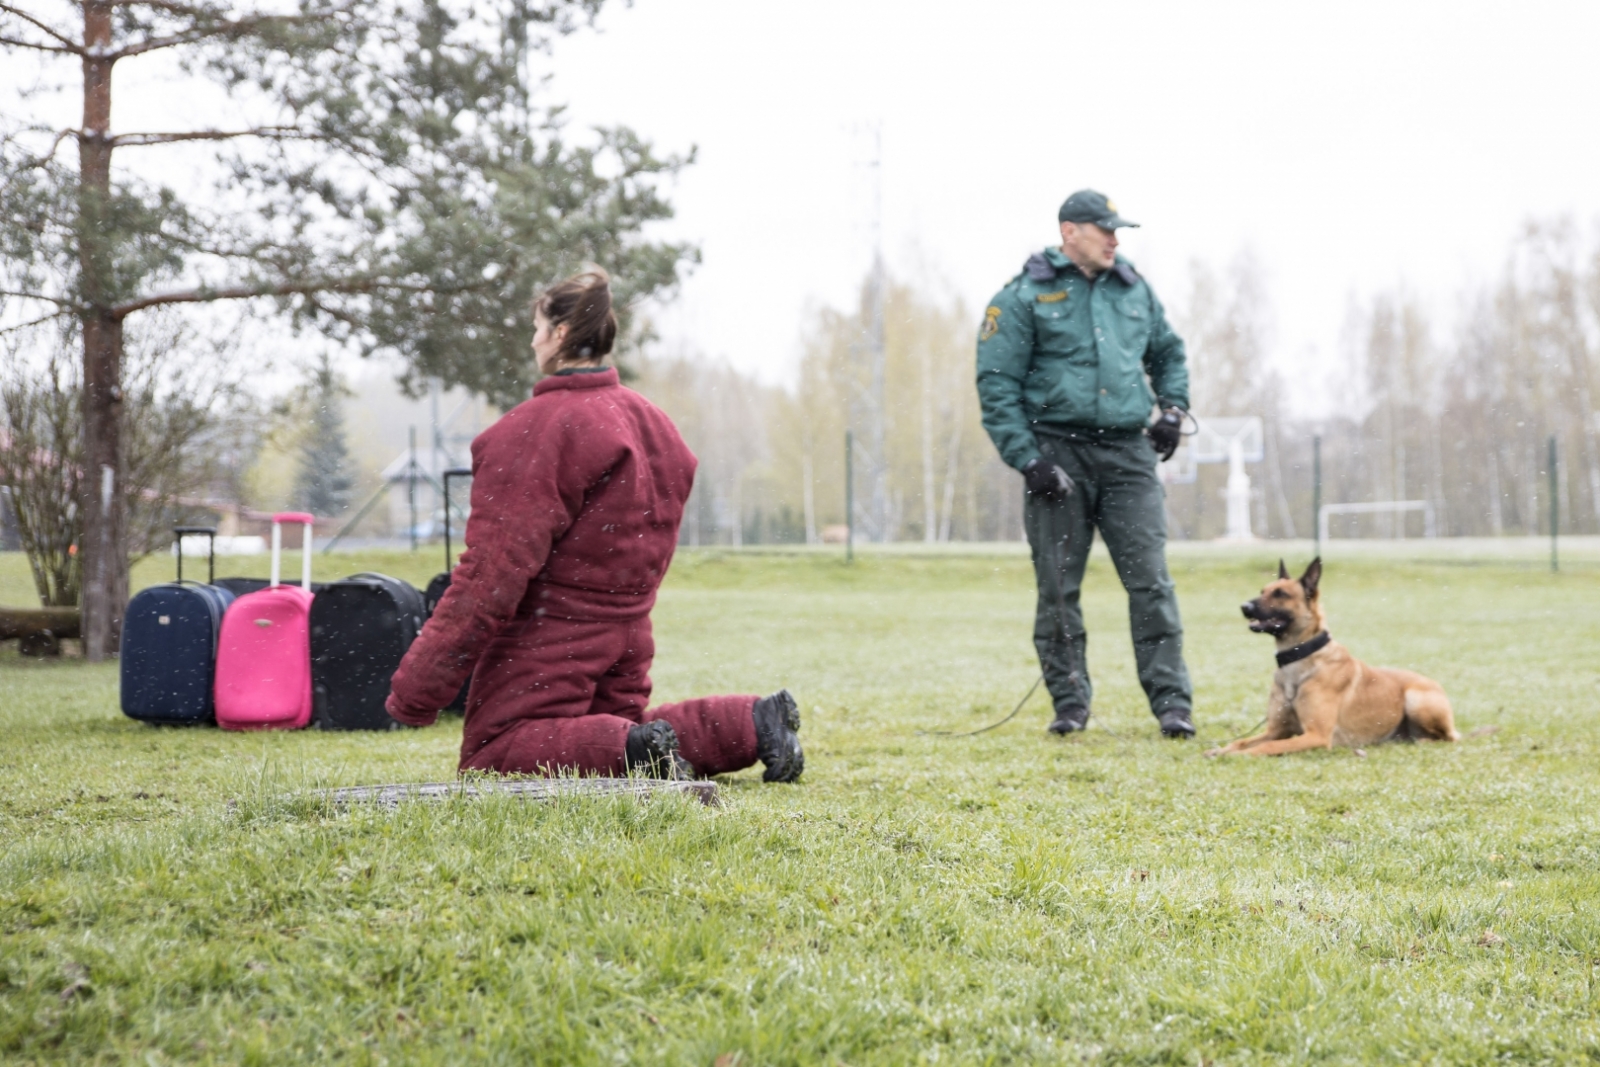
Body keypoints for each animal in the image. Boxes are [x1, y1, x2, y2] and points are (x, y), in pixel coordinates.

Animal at [1203, 559, 1459, 758]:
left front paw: (1237, 755)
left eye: (1281, 594)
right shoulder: (1275, 730)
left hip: (1416, 700)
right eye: (1263, 590)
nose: (1244, 607)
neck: (1298, 659)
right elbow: (1243, 741)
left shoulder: (1316, 735)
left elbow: (1269, 747)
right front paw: (1221, 750)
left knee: (1449, 738)